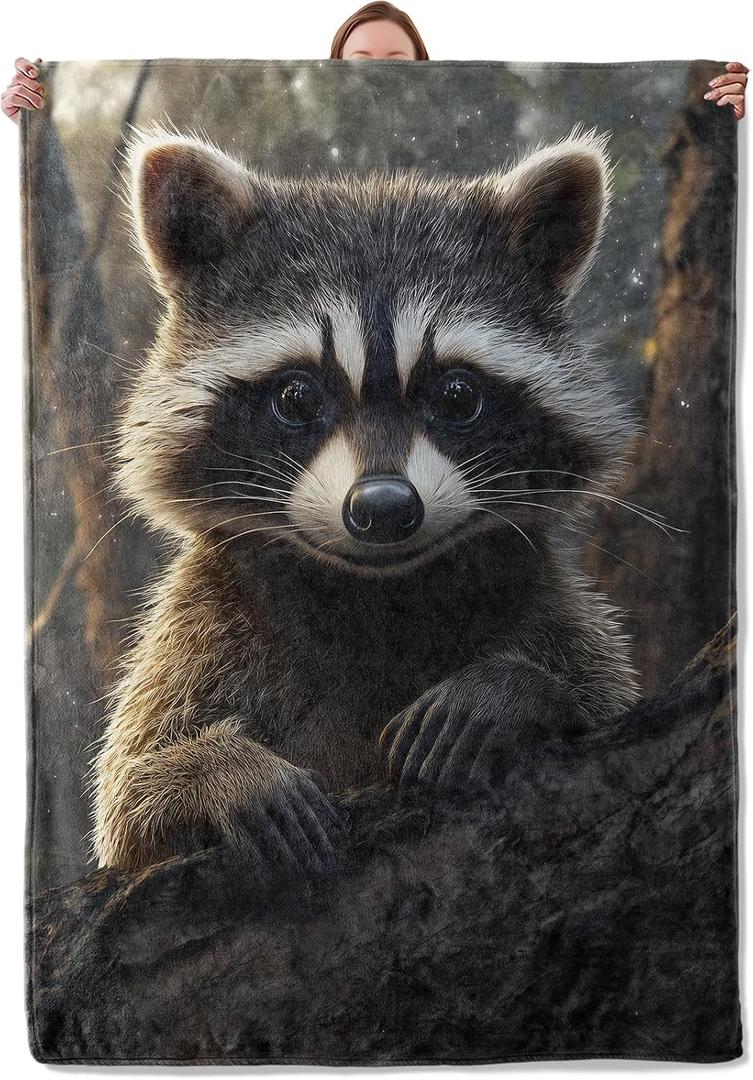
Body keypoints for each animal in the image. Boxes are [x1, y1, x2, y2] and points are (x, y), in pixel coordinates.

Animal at [91, 124, 644, 873]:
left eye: (457, 396)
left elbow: (602, 695)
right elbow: (129, 801)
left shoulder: (537, 594)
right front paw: (215, 771)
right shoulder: (203, 622)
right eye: (296, 398)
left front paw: (514, 690)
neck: (374, 591)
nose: (383, 507)